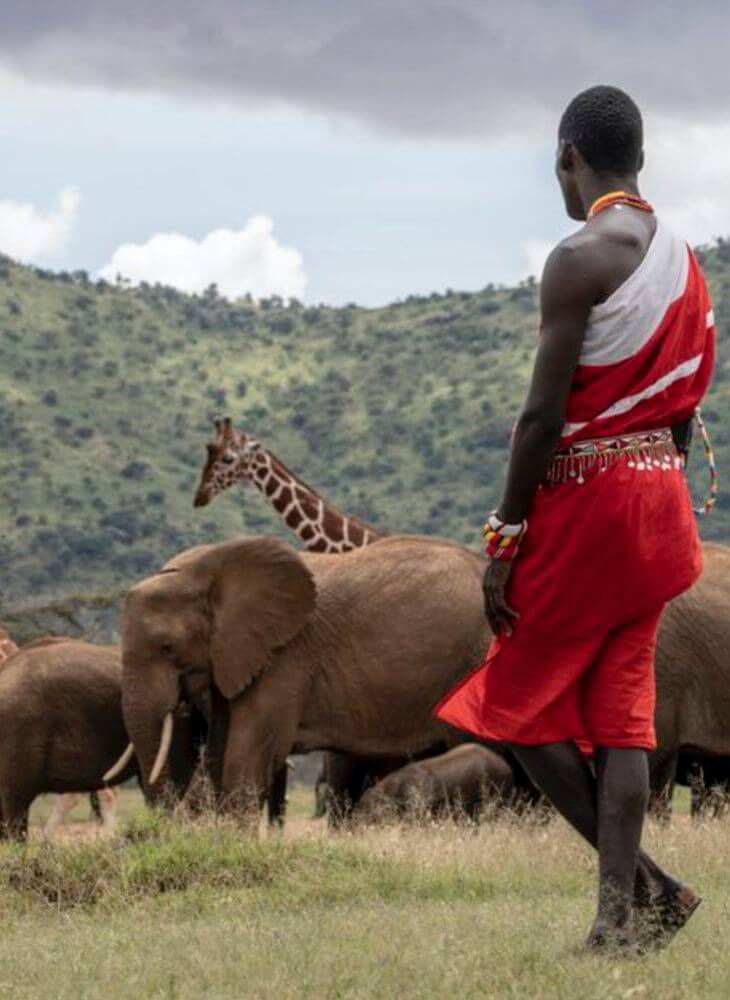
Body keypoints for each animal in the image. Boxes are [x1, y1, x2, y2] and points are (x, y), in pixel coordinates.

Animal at [118, 536, 490, 816]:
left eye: (167, 647)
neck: (208, 566)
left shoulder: (283, 657)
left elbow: (249, 751)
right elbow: (219, 749)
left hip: (473, 663)